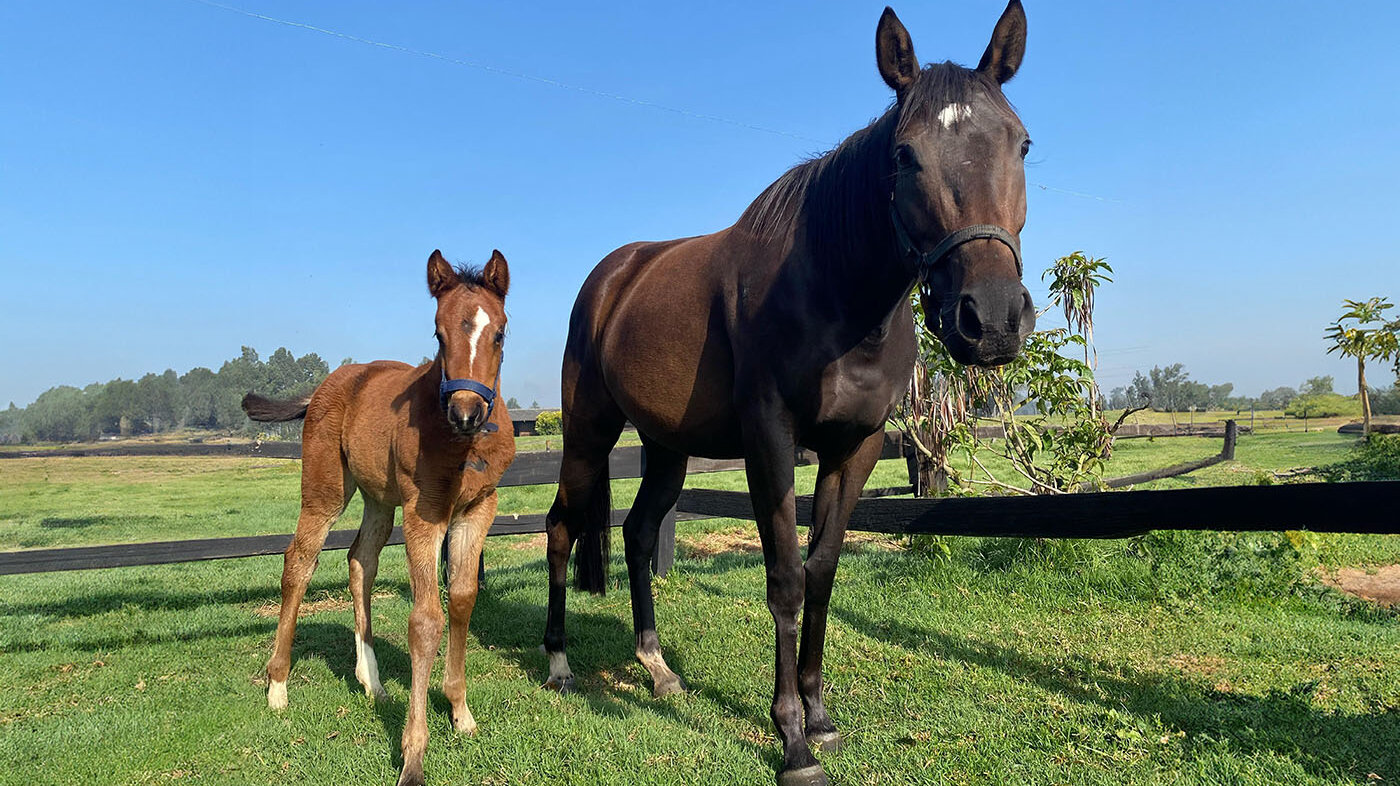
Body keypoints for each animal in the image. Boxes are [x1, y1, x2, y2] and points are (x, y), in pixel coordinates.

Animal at [242, 249, 515, 784]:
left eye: (499, 333)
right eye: (438, 334)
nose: (466, 412)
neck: (462, 445)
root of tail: (328, 383)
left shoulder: (478, 509)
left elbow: (463, 599)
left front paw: (460, 712)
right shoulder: (424, 514)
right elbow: (426, 620)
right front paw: (413, 756)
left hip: (379, 500)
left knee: (359, 560)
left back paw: (372, 681)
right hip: (327, 489)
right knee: (298, 562)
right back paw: (277, 686)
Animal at [540, 6, 1036, 784]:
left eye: (1022, 144)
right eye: (905, 156)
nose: (990, 319)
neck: (834, 293)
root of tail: (613, 276)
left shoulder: (855, 446)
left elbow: (822, 570)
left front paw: (822, 717)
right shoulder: (769, 440)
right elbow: (784, 579)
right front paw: (792, 741)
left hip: (666, 448)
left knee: (638, 531)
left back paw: (657, 668)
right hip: (587, 433)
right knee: (561, 526)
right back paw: (559, 663)